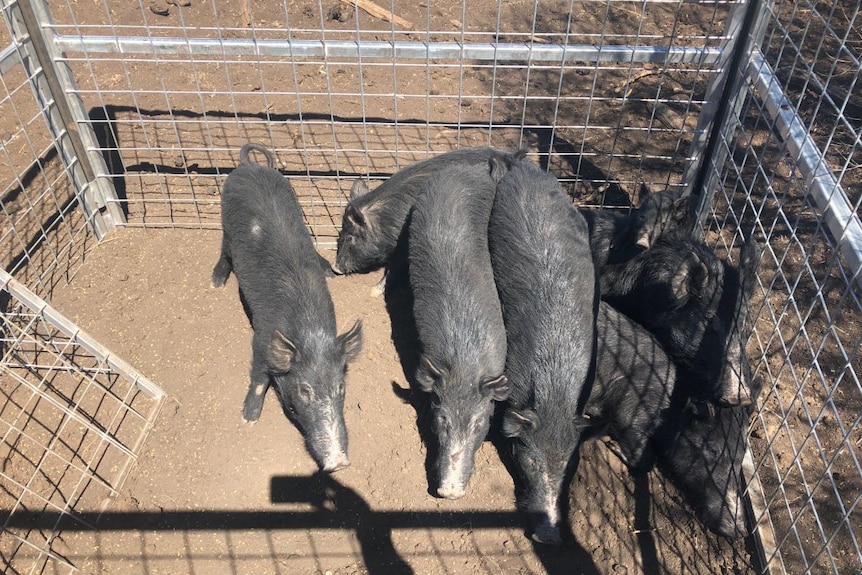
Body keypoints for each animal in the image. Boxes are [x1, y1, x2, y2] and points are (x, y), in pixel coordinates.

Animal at [216, 143, 368, 472]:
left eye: (341, 388)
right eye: (304, 391)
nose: (339, 463)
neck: (309, 330)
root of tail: (249, 166)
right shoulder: (261, 340)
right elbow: (259, 378)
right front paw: (248, 420)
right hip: (225, 224)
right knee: (223, 248)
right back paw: (216, 282)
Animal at [336, 146, 528, 276]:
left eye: (351, 236)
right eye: (341, 233)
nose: (336, 268)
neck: (388, 216)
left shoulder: (403, 243)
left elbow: (394, 267)